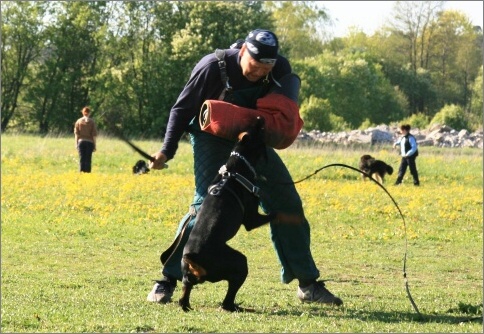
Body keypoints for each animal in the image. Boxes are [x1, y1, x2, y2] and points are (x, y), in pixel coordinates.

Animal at [179, 117, 278, 314]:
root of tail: (192, 258)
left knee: (186, 287)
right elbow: (277, 214)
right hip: (238, 263)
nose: (259, 117)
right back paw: (233, 307)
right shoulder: (251, 219)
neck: (236, 166)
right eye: (260, 129)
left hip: (188, 275)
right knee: (228, 297)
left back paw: (185, 304)